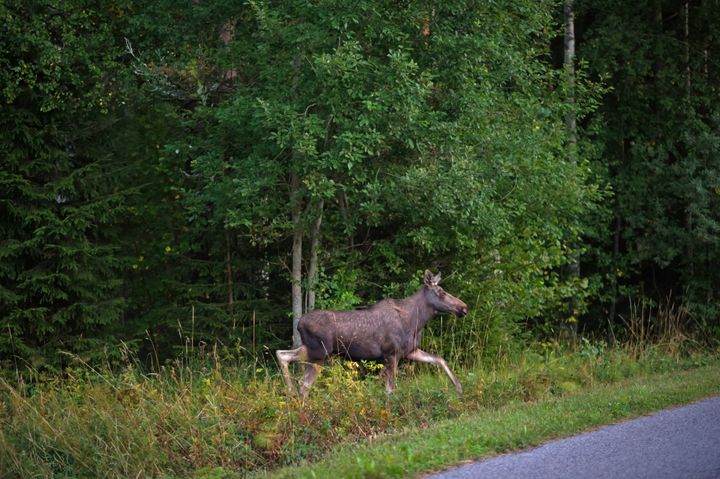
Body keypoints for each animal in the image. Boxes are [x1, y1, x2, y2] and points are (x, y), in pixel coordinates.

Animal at [274, 270, 466, 402]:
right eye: (441, 292)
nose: (463, 307)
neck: (417, 321)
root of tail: (299, 324)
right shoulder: (392, 353)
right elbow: (390, 389)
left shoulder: (410, 351)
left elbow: (440, 359)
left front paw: (459, 388)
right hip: (319, 352)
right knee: (296, 372)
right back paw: (295, 399)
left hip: (315, 352)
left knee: (293, 369)